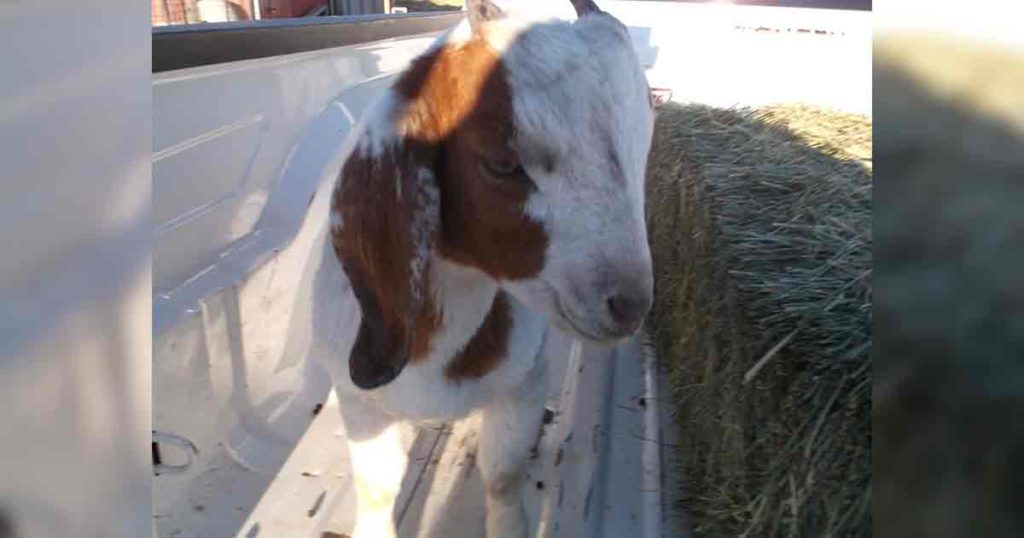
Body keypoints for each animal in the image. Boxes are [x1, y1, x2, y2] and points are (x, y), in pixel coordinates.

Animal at [309, 0, 654, 536]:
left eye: (645, 142)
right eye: (501, 164)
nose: (629, 305)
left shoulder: (524, 382)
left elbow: (502, 475)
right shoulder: (359, 401)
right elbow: (376, 487)